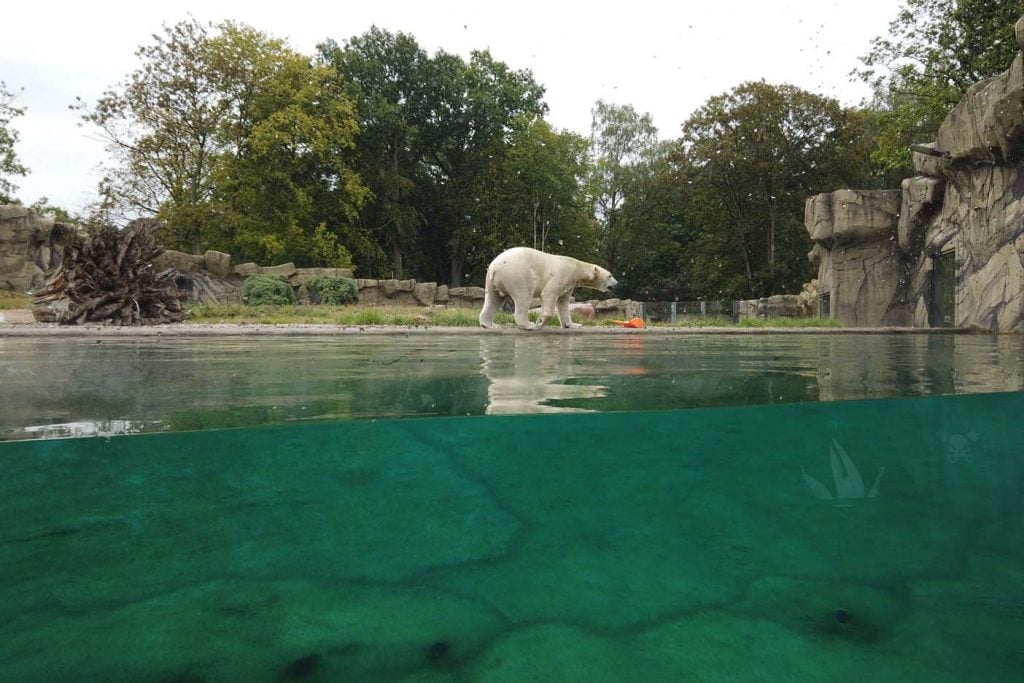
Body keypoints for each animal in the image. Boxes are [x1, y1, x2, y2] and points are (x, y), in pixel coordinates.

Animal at [477, 246, 614, 329]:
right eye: (610, 275)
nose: (616, 284)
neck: (574, 267)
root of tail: (495, 267)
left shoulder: (568, 284)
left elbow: (563, 302)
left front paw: (574, 324)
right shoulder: (561, 274)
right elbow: (549, 294)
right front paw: (540, 322)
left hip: (491, 281)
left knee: (493, 299)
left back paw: (489, 325)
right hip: (518, 274)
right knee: (523, 297)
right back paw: (529, 325)